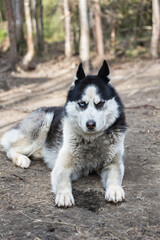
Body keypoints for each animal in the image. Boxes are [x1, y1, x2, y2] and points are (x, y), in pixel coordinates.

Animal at [0, 61, 126, 207]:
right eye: (82, 104)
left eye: (100, 103)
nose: (90, 124)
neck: (91, 140)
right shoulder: (63, 167)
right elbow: (63, 181)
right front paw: (64, 195)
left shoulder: (113, 164)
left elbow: (114, 176)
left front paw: (115, 190)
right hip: (43, 124)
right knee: (11, 149)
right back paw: (21, 159)